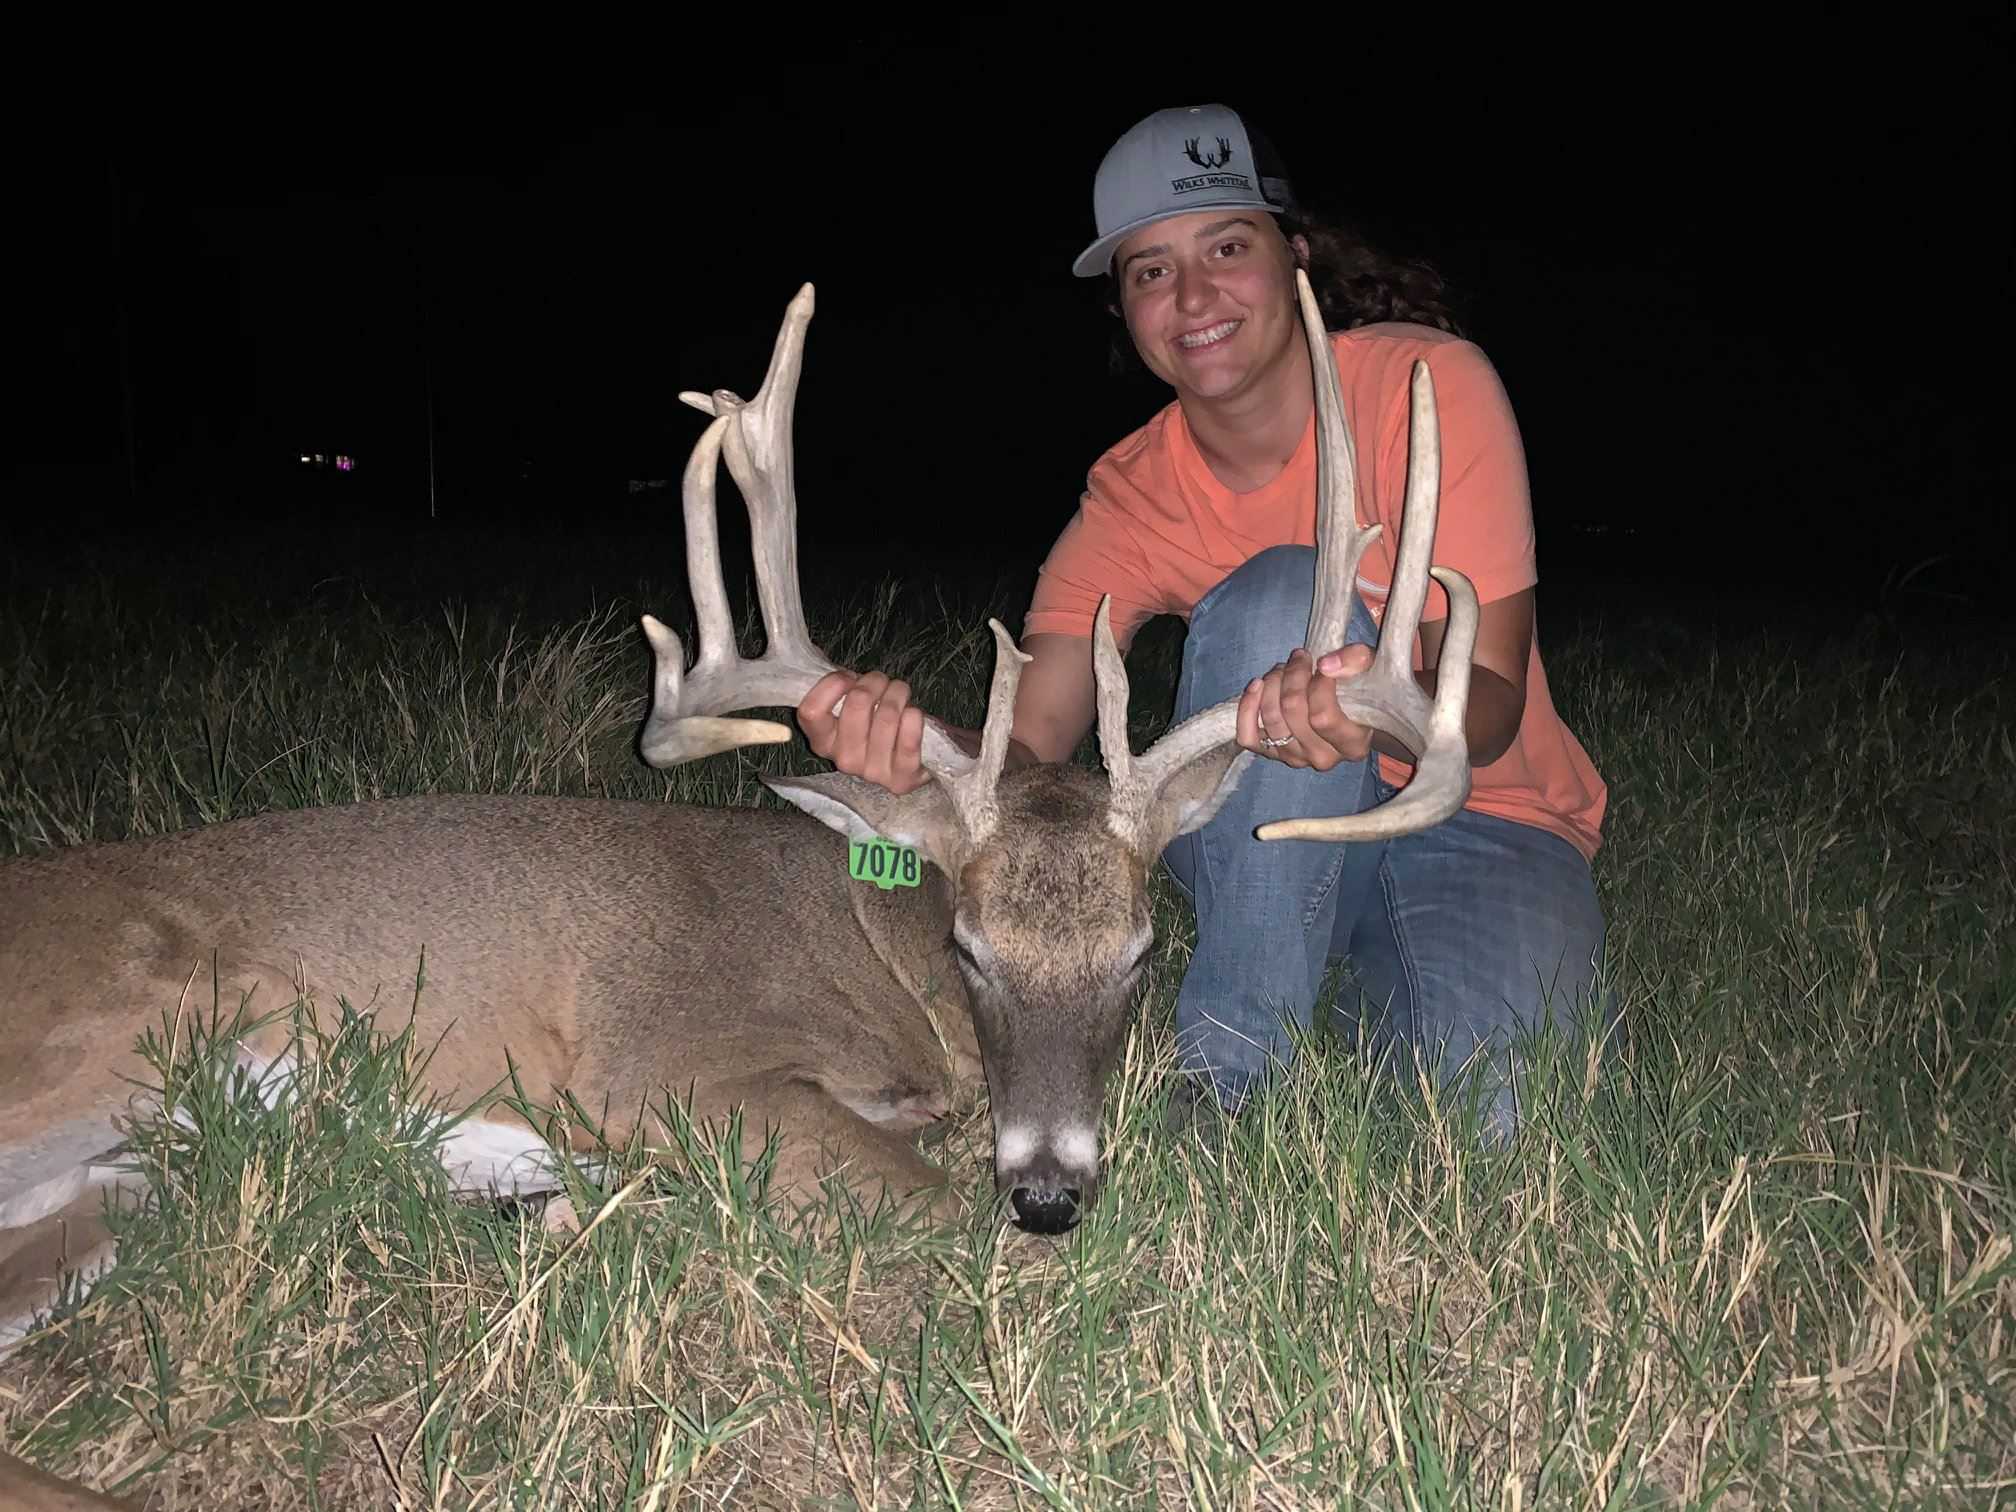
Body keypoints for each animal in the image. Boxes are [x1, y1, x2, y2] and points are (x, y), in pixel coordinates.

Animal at [0, 269, 1476, 1372]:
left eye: (1140, 953)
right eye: (970, 948)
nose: (1053, 1192)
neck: (868, 950)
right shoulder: (662, 1060)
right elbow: (927, 1197)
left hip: (131, 1174)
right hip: (127, 1029)